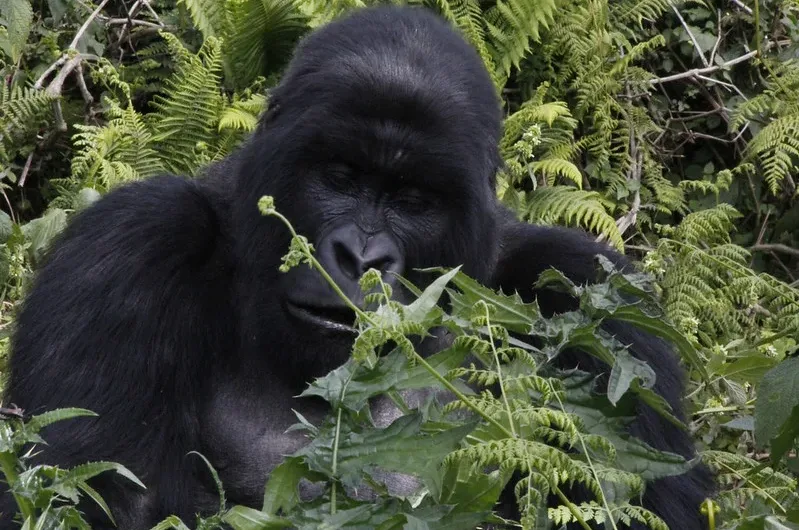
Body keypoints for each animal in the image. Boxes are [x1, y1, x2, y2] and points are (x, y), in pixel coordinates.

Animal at [0, 5, 712, 528]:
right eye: (340, 177)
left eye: (413, 200)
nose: (362, 258)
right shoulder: (126, 251)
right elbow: (89, 495)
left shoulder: (594, 292)